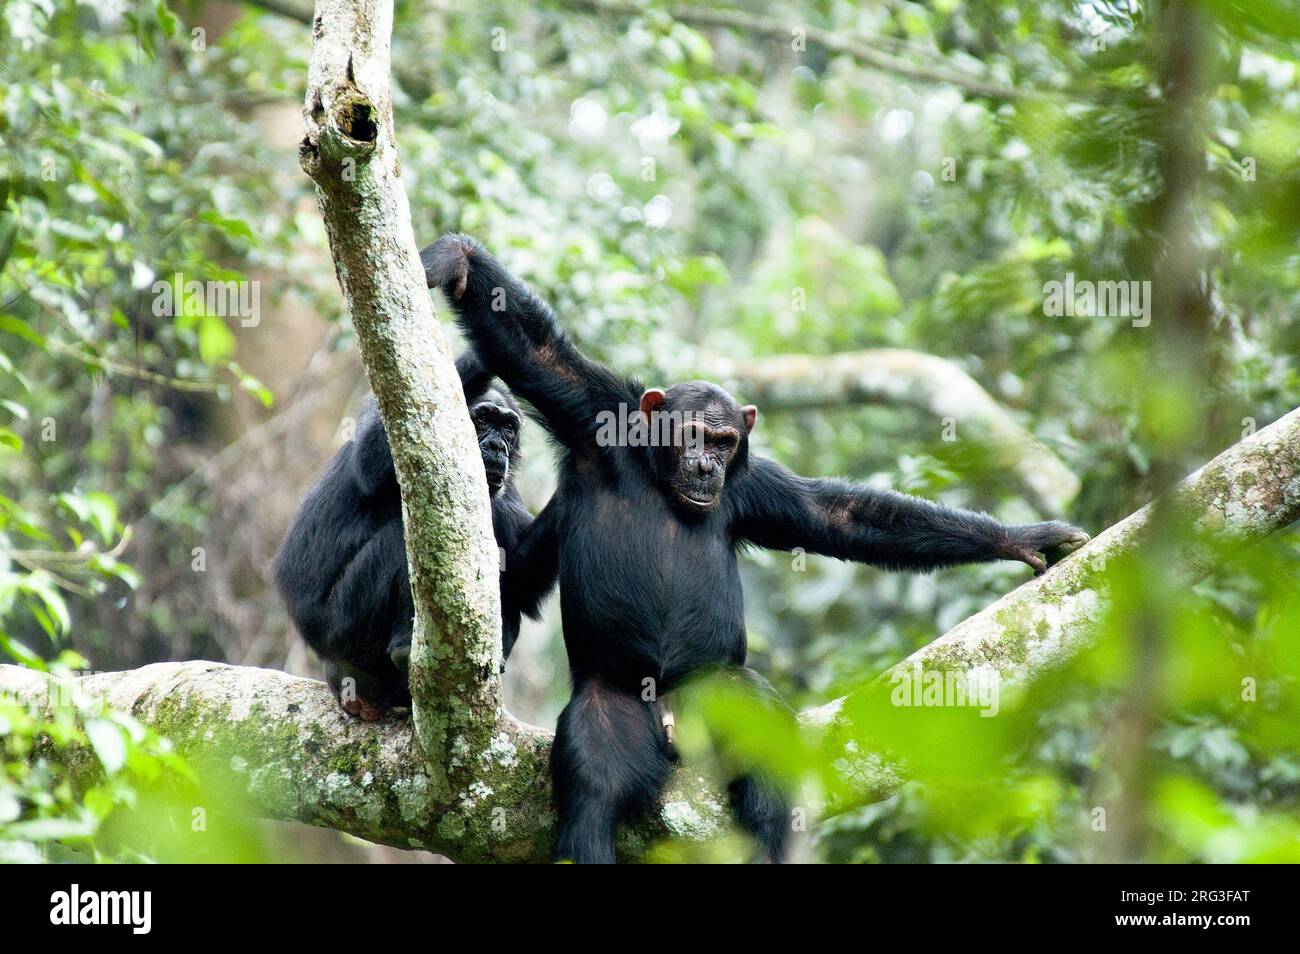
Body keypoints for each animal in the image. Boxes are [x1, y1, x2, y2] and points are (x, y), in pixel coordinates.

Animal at [276, 356, 551, 722]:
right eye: (481, 418)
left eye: (508, 427)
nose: (497, 445)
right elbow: (372, 456)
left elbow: (522, 576)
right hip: (342, 626)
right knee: (399, 542)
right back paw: (407, 650)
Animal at [421, 235, 1092, 863]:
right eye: (694, 435)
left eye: (724, 443)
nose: (706, 465)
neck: (656, 473)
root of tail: (673, 721)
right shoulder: (592, 412)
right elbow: (534, 351)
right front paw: (455, 260)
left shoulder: (755, 489)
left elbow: (835, 516)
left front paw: (1021, 538)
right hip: (614, 706)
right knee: (593, 786)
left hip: (724, 697)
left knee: (767, 762)